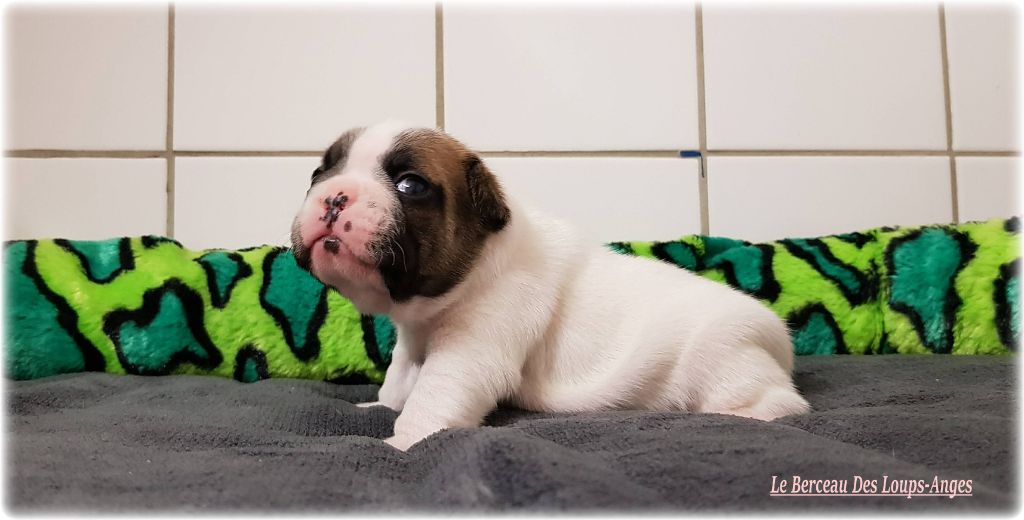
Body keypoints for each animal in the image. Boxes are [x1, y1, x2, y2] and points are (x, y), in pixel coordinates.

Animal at [291, 121, 810, 451]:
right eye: (319, 174)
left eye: (410, 185)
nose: (333, 196)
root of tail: (778, 340)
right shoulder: (411, 341)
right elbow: (399, 378)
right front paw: (376, 404)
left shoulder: (472, 349)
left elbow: (434, 394)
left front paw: (400, 441)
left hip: (725, 359)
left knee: (780, 402)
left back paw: (741, 414)